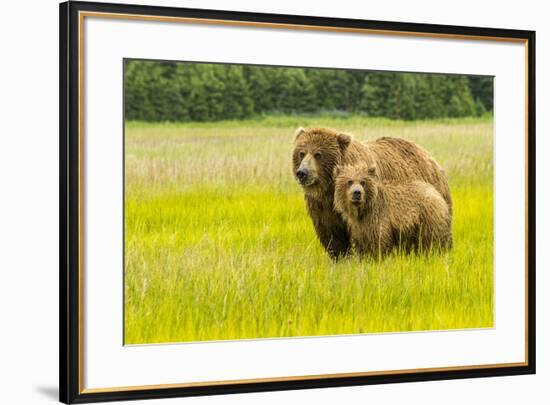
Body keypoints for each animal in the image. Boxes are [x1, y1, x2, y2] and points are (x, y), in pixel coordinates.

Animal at [294, 127, 452, 258]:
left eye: (318, 154)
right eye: (301, 153)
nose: (302, 173)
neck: (329, 190)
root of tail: (426, 154)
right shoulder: (322, 207)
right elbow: (333, 236)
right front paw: (339, 259)